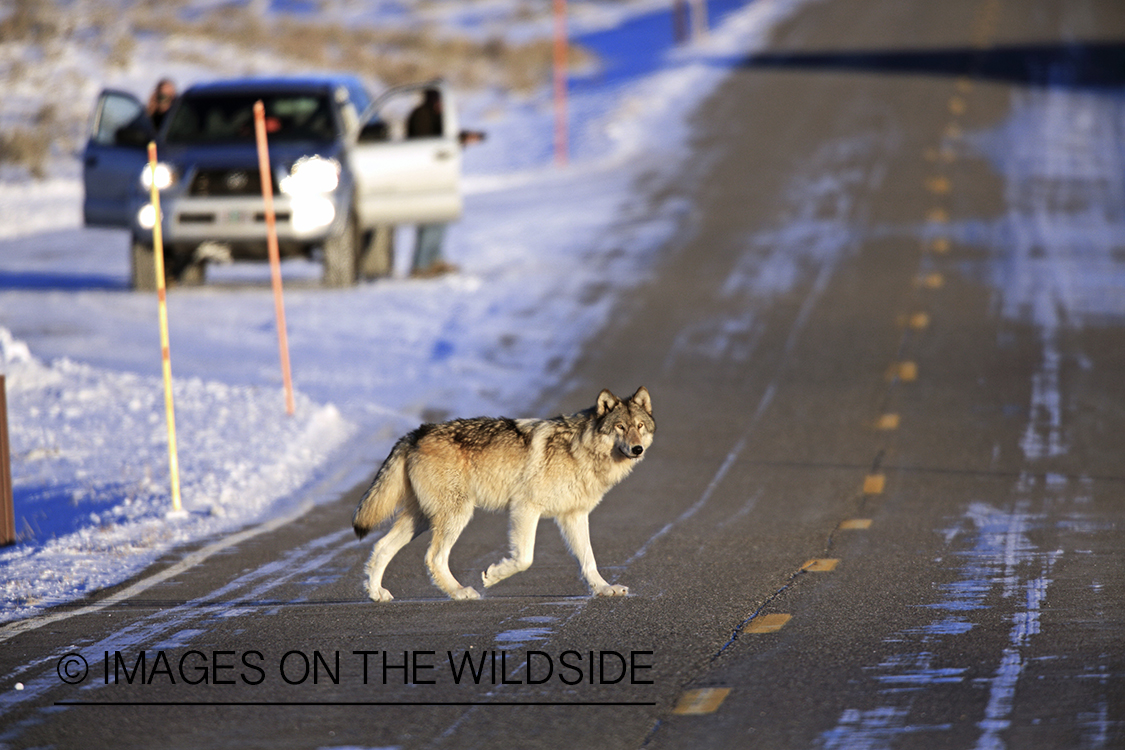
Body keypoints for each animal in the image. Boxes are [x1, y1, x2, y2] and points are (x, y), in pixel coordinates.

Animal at [352, 387, 654, 601]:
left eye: (640, 426)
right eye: (620, 427)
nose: (637, 449)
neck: (580, 450)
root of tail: (416, 432)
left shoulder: (574, 515)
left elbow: (588, 560)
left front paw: (604, 588)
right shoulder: (525, 507)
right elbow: (524, 558)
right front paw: (493, 576)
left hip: (423, 519)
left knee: (381, 547)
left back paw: (377, 594)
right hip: (456, 514)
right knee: (433, 557)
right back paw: (460, 592)